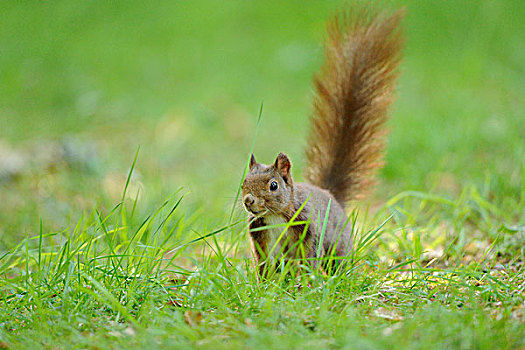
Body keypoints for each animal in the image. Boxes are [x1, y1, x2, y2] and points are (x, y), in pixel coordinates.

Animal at [239, 2, 404, 276]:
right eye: (243, 183)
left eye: (273, 185)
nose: (249, 200)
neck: (275, 215)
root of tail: (331, 195)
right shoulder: (259, 236)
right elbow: (263, 265)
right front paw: (262, 284)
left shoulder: (308, 229)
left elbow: (308, 259)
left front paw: (306, 282)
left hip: (338, 244)